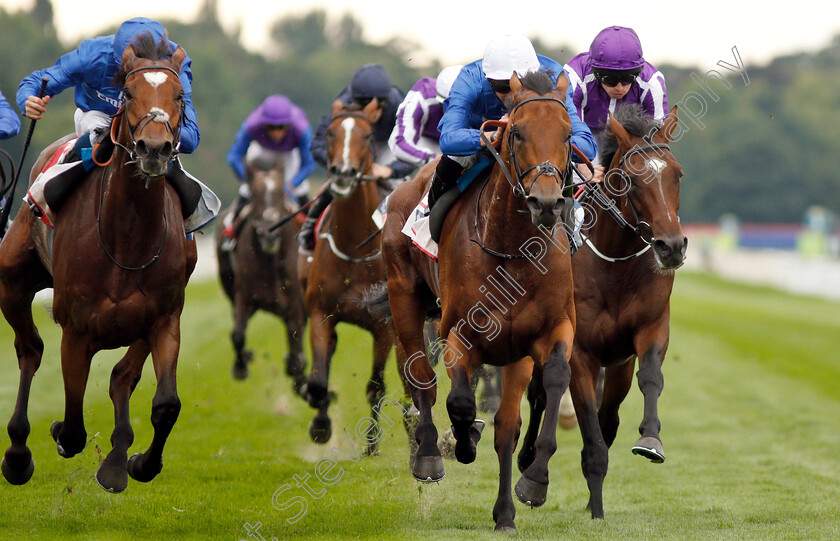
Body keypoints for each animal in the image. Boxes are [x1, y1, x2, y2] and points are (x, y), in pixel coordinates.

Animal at [0, 35, 195, 492]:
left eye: (179, 96)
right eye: (128, 93)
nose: (154, 148)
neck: (127, 239)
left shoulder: (165, 317)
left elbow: (166, 404)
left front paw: (139, 464)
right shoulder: (76, 331)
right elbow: (72, 426)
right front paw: (55, 433)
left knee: (122, 375)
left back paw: (118, 458)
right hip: (12, 280)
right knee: (30, 350)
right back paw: (17, 454)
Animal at [215, 154, 306, 386]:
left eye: (281, 193)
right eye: (255, 195)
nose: (269, 234)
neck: (270, 262)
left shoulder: (295, 305)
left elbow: (296, 340)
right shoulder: (244, 296)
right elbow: (238, 333)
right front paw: (241, 366)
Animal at [298, 98, 398, 452]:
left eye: (367, 136)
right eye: (330, 133)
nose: (343, 174)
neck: (355, 248)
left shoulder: (385, 327)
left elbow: (376, 384)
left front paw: (371, 443)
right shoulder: (320, 313)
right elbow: (318, 379)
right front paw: (320, 425)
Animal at [380, 69, 576, 528]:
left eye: (568, 133)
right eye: (517, 131)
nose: (545, 203)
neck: (513, 252)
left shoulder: (545, 333)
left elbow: (533, 402)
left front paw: (529, 486)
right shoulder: (459, 333)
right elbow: (459, 400)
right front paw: (461, 441)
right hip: (404, 298)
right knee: (424, 379)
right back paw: (429, 454)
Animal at [520, 103, 688, 516]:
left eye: (677, 174)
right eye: (629, 179)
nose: (672, 247)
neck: (615, 265)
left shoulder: (648, 331)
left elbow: (649, 379)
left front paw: (651, 440)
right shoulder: (580, 351)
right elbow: (590, 435)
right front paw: (592, 507)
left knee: (607, 415)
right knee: (538, 396)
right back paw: (527, 460)